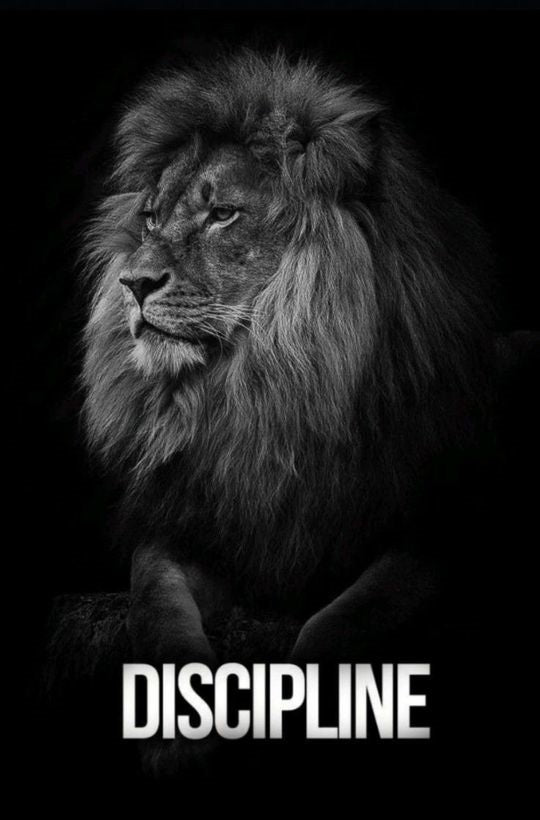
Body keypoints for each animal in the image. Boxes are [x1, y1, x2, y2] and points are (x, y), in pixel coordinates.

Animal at [82, 49, 496, 773]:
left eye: (223, 213)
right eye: (152, 218)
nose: (132, 283)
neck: (263, 395)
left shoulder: (434, 535)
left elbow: (344, 621)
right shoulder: (190, 530)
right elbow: (157, 610)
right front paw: (176, 731)